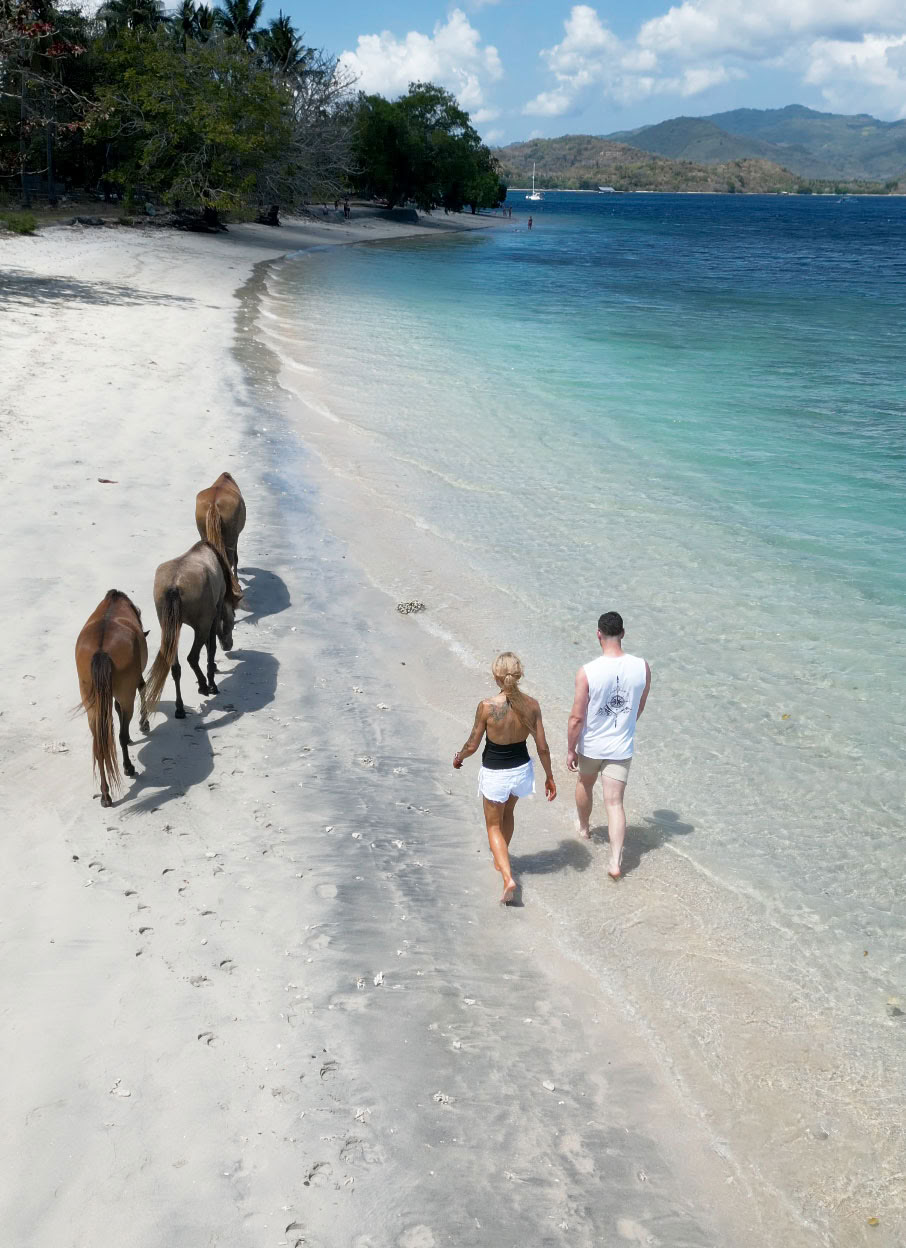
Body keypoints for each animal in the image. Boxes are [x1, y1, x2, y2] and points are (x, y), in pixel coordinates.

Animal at [75, 589, 149, 807]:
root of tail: (101, 651)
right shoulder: (134, 682)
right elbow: (142, 688)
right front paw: (144, 724)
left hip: (93, 706)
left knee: (99, 747)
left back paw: (105, 794)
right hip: (126, 696)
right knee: (121, 734)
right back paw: (128, 767)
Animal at [144, 540, 241, 720]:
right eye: (232, 617)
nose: (229, 645)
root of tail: (174, 586)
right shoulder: (214, 616)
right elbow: (211, 649)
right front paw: (212, 684)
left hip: (170, 628)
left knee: (176, 668)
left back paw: (180, 709)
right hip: (201, 627)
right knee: (192, 657)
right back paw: (204, 686)